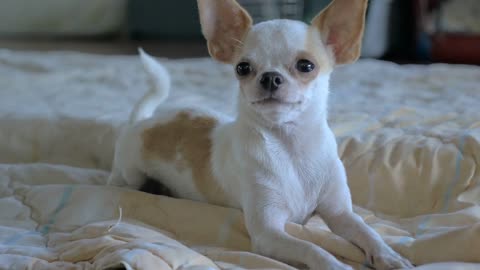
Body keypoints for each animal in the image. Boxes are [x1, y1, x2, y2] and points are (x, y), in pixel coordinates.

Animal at [109, 1, 412, 268]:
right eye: (242, 68)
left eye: (306, 65)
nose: (270, 77)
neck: (291, 147)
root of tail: (144, 121)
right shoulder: (269, 232)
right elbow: (311, 247)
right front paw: (335, 265)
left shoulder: (341, 214)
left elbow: (368, 233)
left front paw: (389, 256)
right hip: (131, 176)